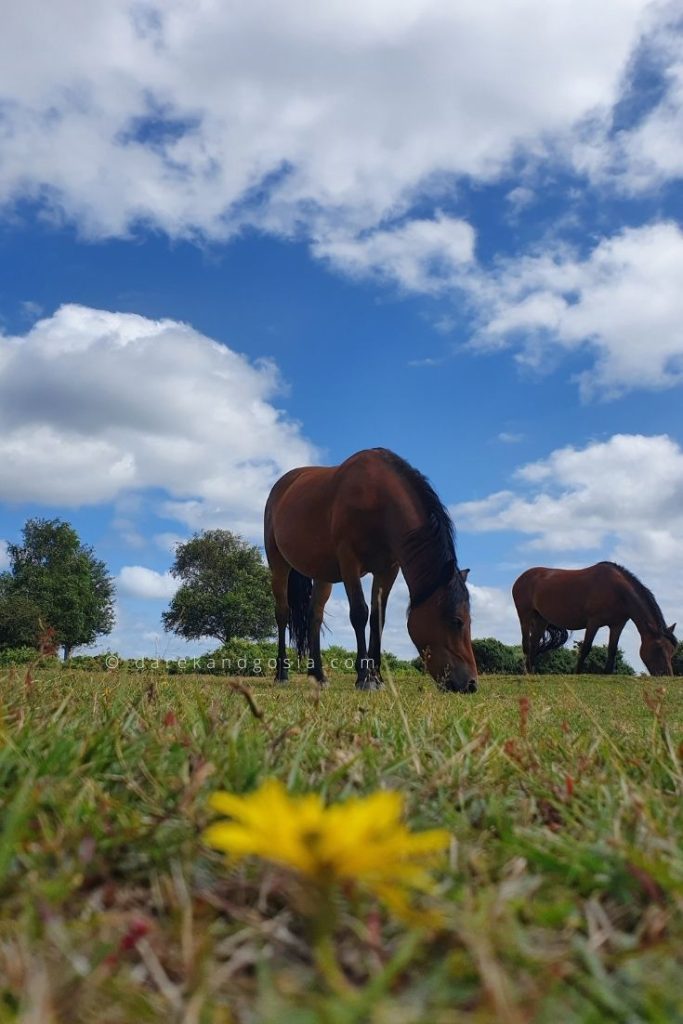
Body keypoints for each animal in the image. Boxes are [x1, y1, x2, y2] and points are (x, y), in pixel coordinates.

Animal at [264, 446, 479, 692]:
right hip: (279, 565)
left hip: (322, 575)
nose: (471, 684)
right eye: (456, 621)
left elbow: (378, 618)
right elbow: (360, 613)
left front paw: (376, 676)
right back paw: (282, 674)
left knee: (314, 616)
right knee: (282, 613)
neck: (379, 501)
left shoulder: (388, 570)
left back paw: (318, 675)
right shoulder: (349, 562)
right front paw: (365, 678)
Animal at [511, 565, 679, 675]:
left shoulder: (617, 625)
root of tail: (520, 579)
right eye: (658, 648)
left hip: (541, 620)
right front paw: (577, 673)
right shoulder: (593, 622)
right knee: (526, 645)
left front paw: (607, 674)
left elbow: (612, 650)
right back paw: (526, 673)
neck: (617, 591)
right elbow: (586, 648)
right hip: (525, 616)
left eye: (672, 650)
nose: (667, 675)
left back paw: (532, 673)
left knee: (534, 645)